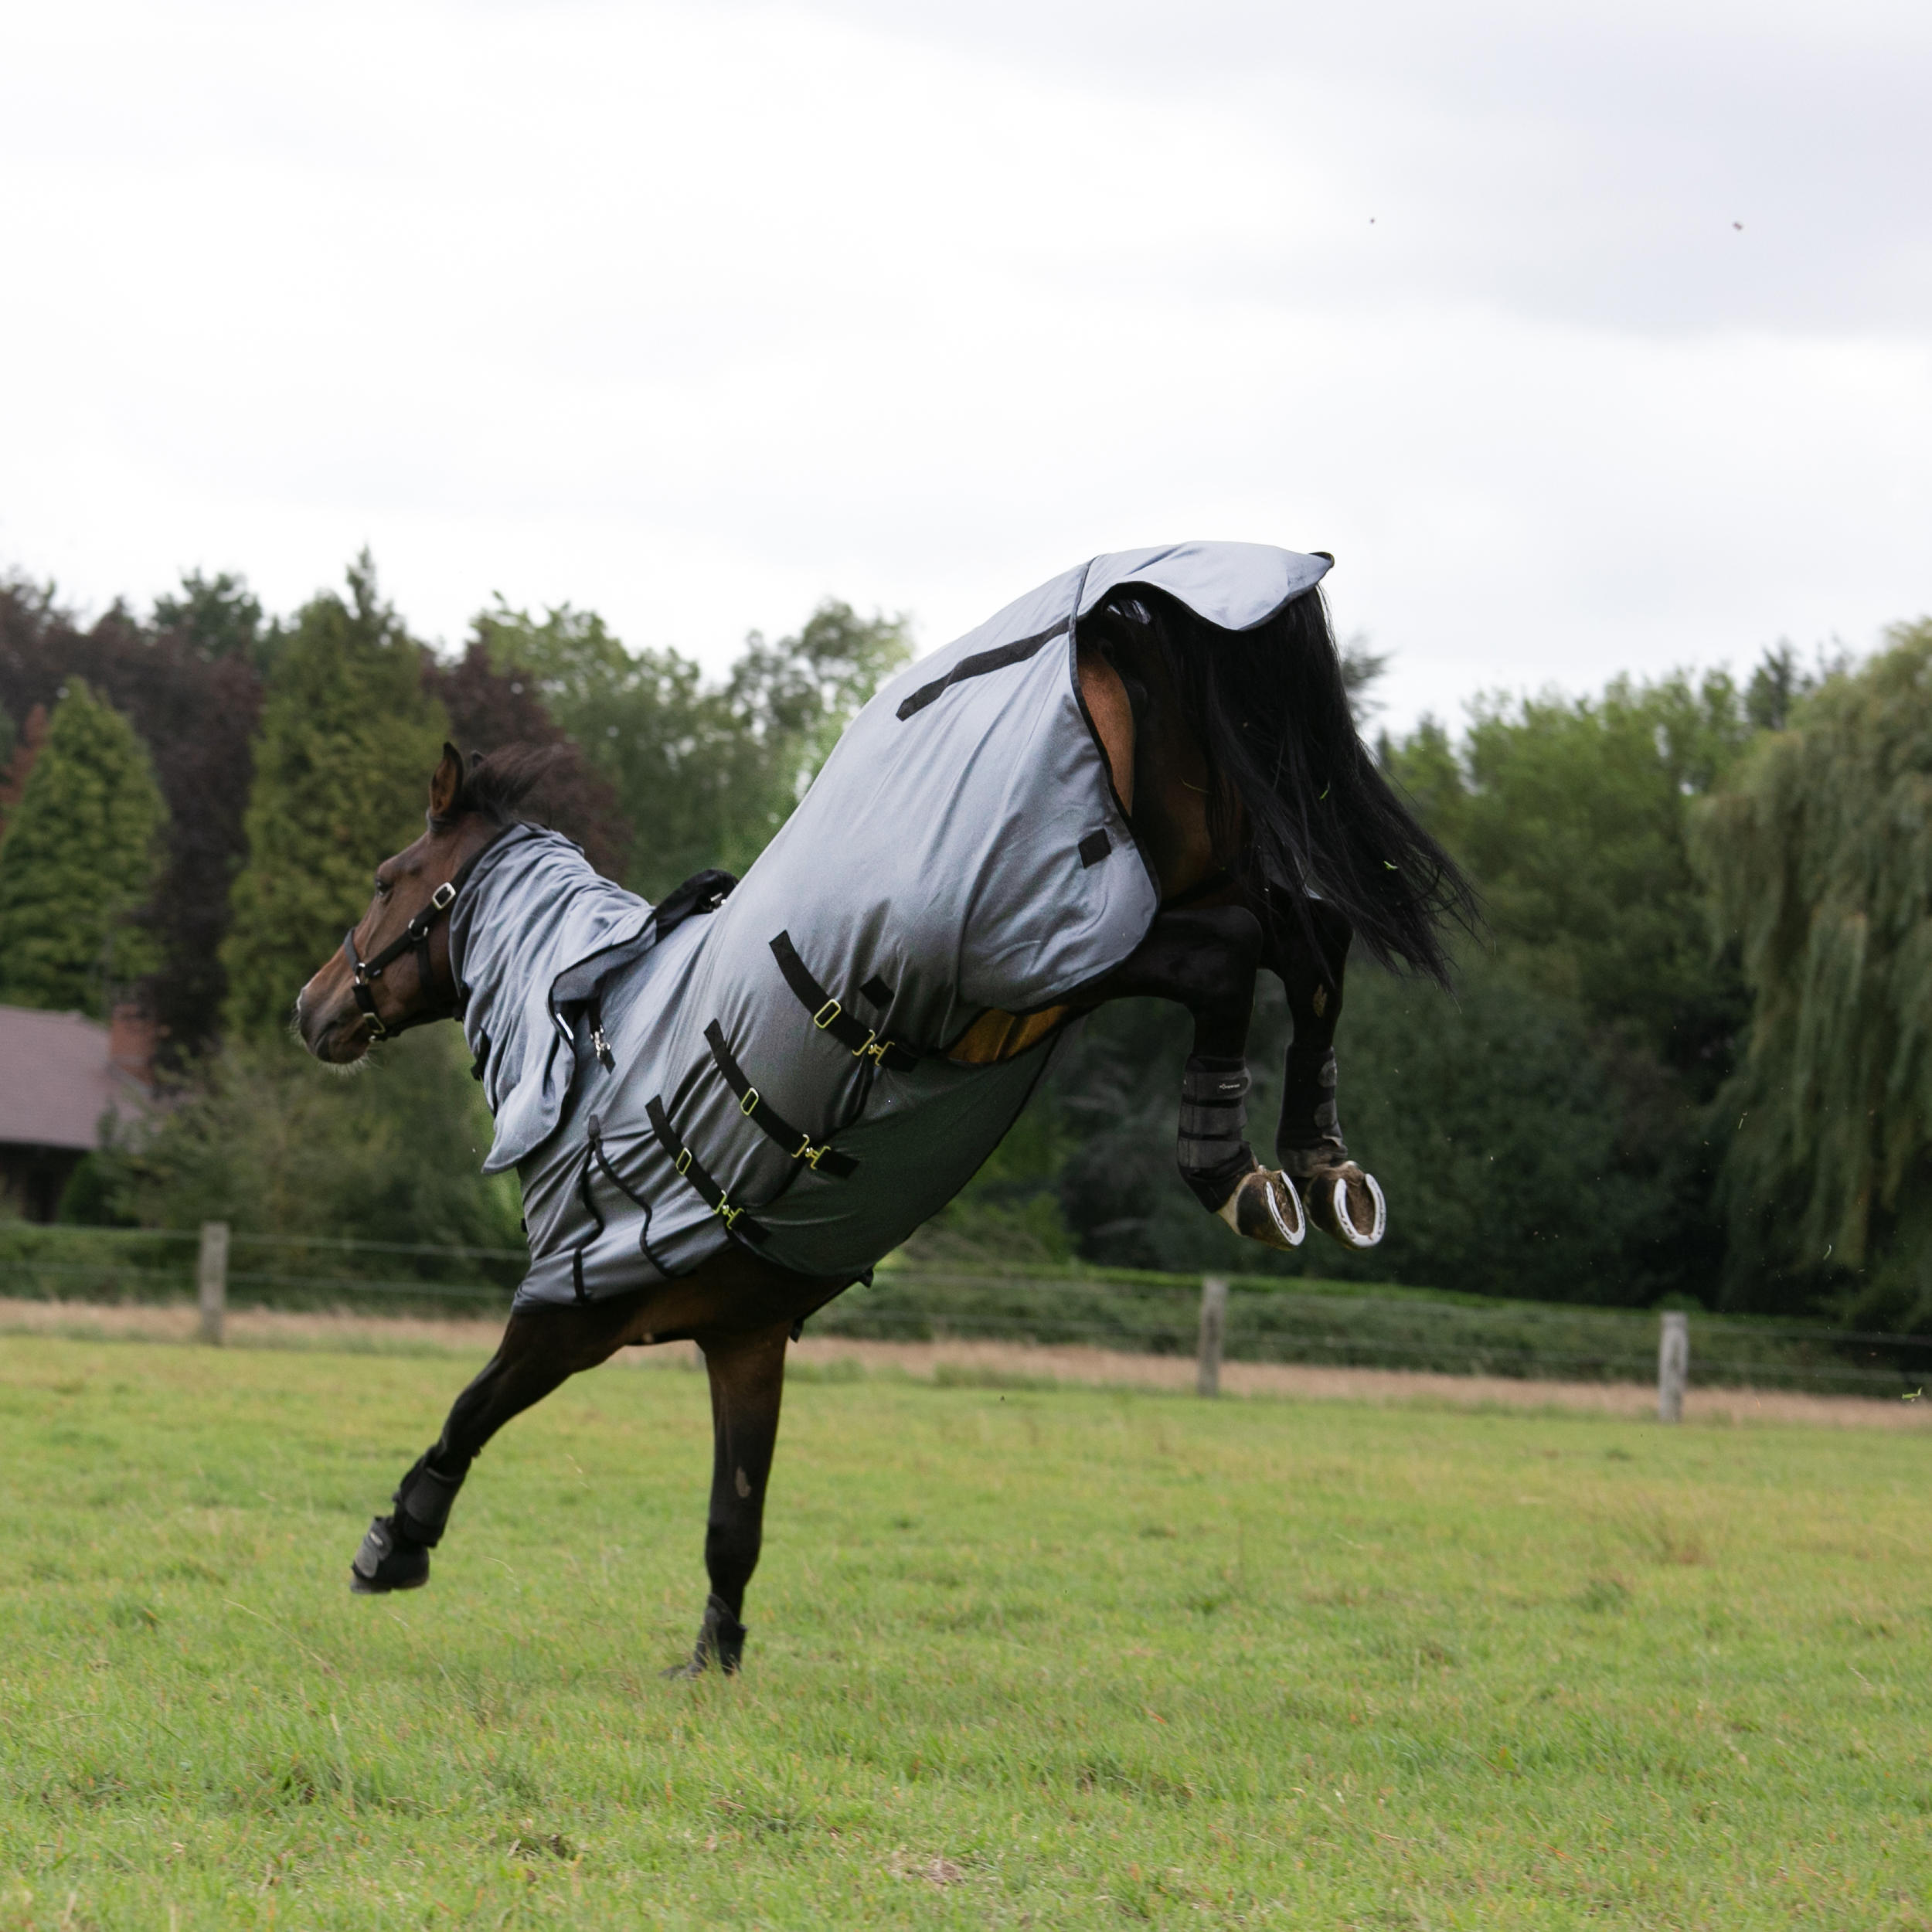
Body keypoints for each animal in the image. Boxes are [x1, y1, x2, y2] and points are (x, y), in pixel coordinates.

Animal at [295, 542, 1472, 1675]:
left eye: (390, 875)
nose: (313, 1009)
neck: (591, 1020)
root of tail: (1110, 616)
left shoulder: (573, 1308)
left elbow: (471, 1407)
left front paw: (394, 1540)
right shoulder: (744, 1336)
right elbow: (735, 1517)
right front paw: (712, 1660)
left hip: (1071, 949)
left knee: (1239, 958)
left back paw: (1232, 1168)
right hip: (1187, 876)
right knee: (1307, 936)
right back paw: (1319, 1165)